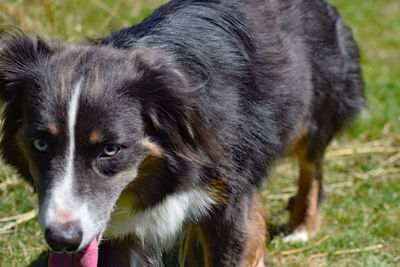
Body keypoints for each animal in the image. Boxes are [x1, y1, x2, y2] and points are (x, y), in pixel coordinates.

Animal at [0, 0, 366, 266]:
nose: (61, 241)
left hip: (317, 102)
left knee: (311, 163)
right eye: (40, 143)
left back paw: (302, 226)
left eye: (110, 149)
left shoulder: (231, 192)